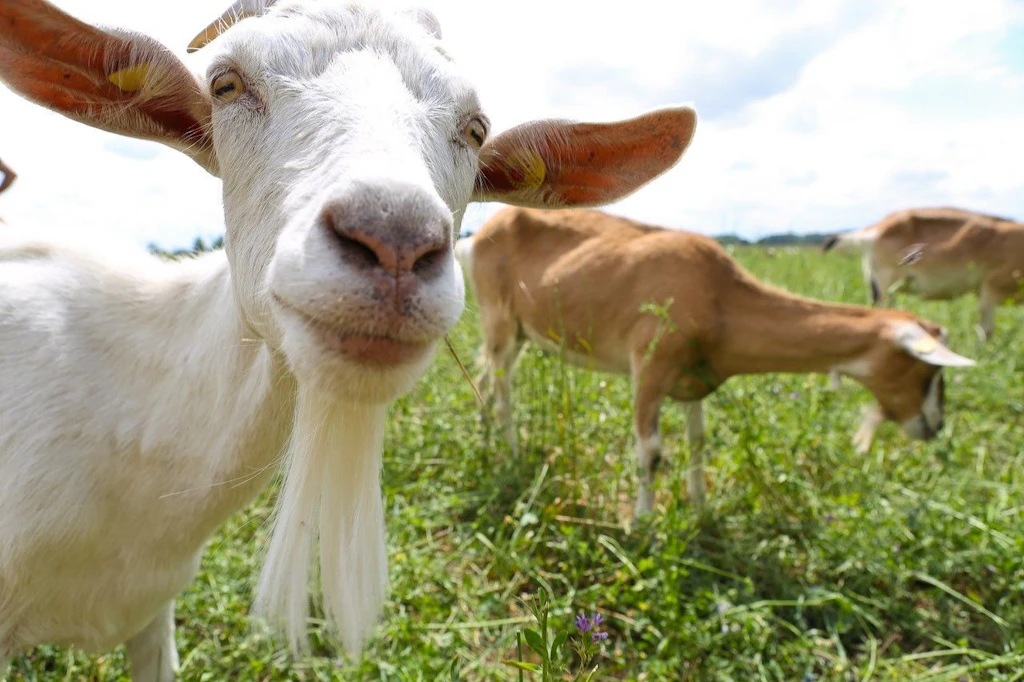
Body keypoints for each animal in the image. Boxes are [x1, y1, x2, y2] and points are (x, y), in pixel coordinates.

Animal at [457, 208, 976, 517]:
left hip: (518, 332)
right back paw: (511, 451)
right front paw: (643, 527)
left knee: (485, 376)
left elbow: (698, 440)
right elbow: (650, 452)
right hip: (499, 318)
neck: (720, 296)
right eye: (929, 368)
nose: (934, 426)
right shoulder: (649, 367)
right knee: (502, 385)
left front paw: (701, 507)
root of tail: (477, 236)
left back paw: (485, 439)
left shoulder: (692, 380)